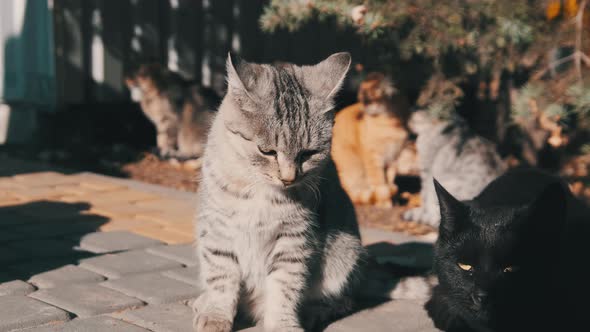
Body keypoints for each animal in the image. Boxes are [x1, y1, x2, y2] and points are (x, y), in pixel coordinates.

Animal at [194, 53, 368, 330]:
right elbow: (221, 278)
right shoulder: (218, 229)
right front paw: (215, 315)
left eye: (308, 153)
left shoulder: (293, 239)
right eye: (267, 151)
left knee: (343, 299)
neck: (260, 193)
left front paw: (283, 323)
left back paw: (314, 311)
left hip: (345, 254)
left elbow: (284, 288)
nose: (288, 177)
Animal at [332, 72, 412, 208]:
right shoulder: (373, 157)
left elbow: (389, 178)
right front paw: (385, 202)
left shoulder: (393, 157)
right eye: (360, 99)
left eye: (368, 99)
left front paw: (392, 198)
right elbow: (380, 183)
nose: (362, 107)